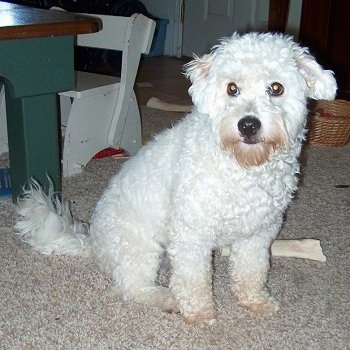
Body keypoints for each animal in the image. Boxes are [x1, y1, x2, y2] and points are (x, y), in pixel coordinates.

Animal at [15, 32, 336, 326]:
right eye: (232, 88)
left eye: (276, 88)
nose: (248, 125)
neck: (242, 166)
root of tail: (93, 243)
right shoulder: (192, 233)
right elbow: (193, 279)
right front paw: (200, 313)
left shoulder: (258, 232)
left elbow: (251, 271)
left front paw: (255, 301)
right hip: (141, 247)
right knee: (132, 286)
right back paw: (166, 299)